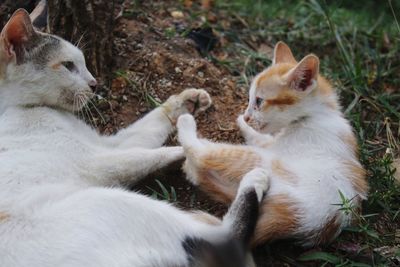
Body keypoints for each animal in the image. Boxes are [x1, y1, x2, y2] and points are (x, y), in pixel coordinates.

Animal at [0, 8, 268, 267]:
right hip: (113, 201)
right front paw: (187, 151)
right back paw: (251, 174)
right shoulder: (96, 161)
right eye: (68, 65)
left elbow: (150, 125)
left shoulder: (109, 144)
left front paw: (186, 100)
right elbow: (147, 155)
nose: (94, 83)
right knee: (227, 239)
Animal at [177, 42, 368, 247]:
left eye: (259, 101)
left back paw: (186, 124)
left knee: (202, 155)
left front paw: (242, 122)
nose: (247, 116)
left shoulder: (273, 145)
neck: (317, 114)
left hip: (258, 160)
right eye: (249, 98)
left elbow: (257, 136)